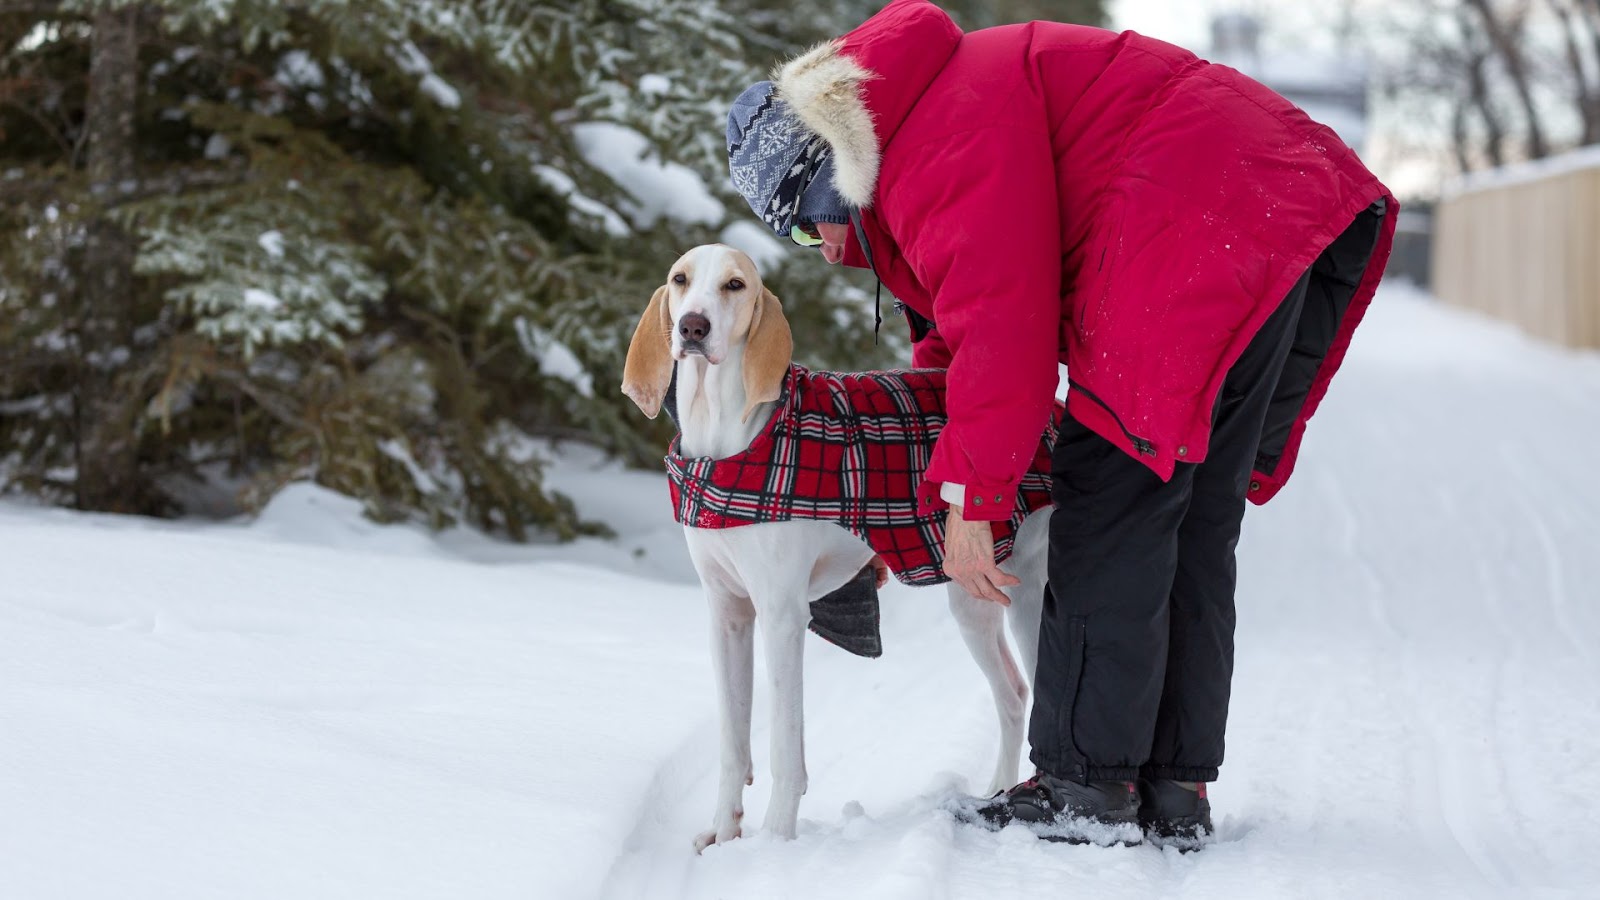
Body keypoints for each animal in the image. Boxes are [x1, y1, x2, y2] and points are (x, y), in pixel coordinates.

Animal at [614, 243, 1049, 845]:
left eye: (734, 285)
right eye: (680, 279)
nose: (693, 327)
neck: (726, 437)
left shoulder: (782, 615)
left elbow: (784, 748)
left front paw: (774, 841)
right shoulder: (728, 614)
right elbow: (733, 743)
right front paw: (724, 836)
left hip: (1032, 598)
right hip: (972, 593)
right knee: (1012, 695)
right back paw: (997, 790)